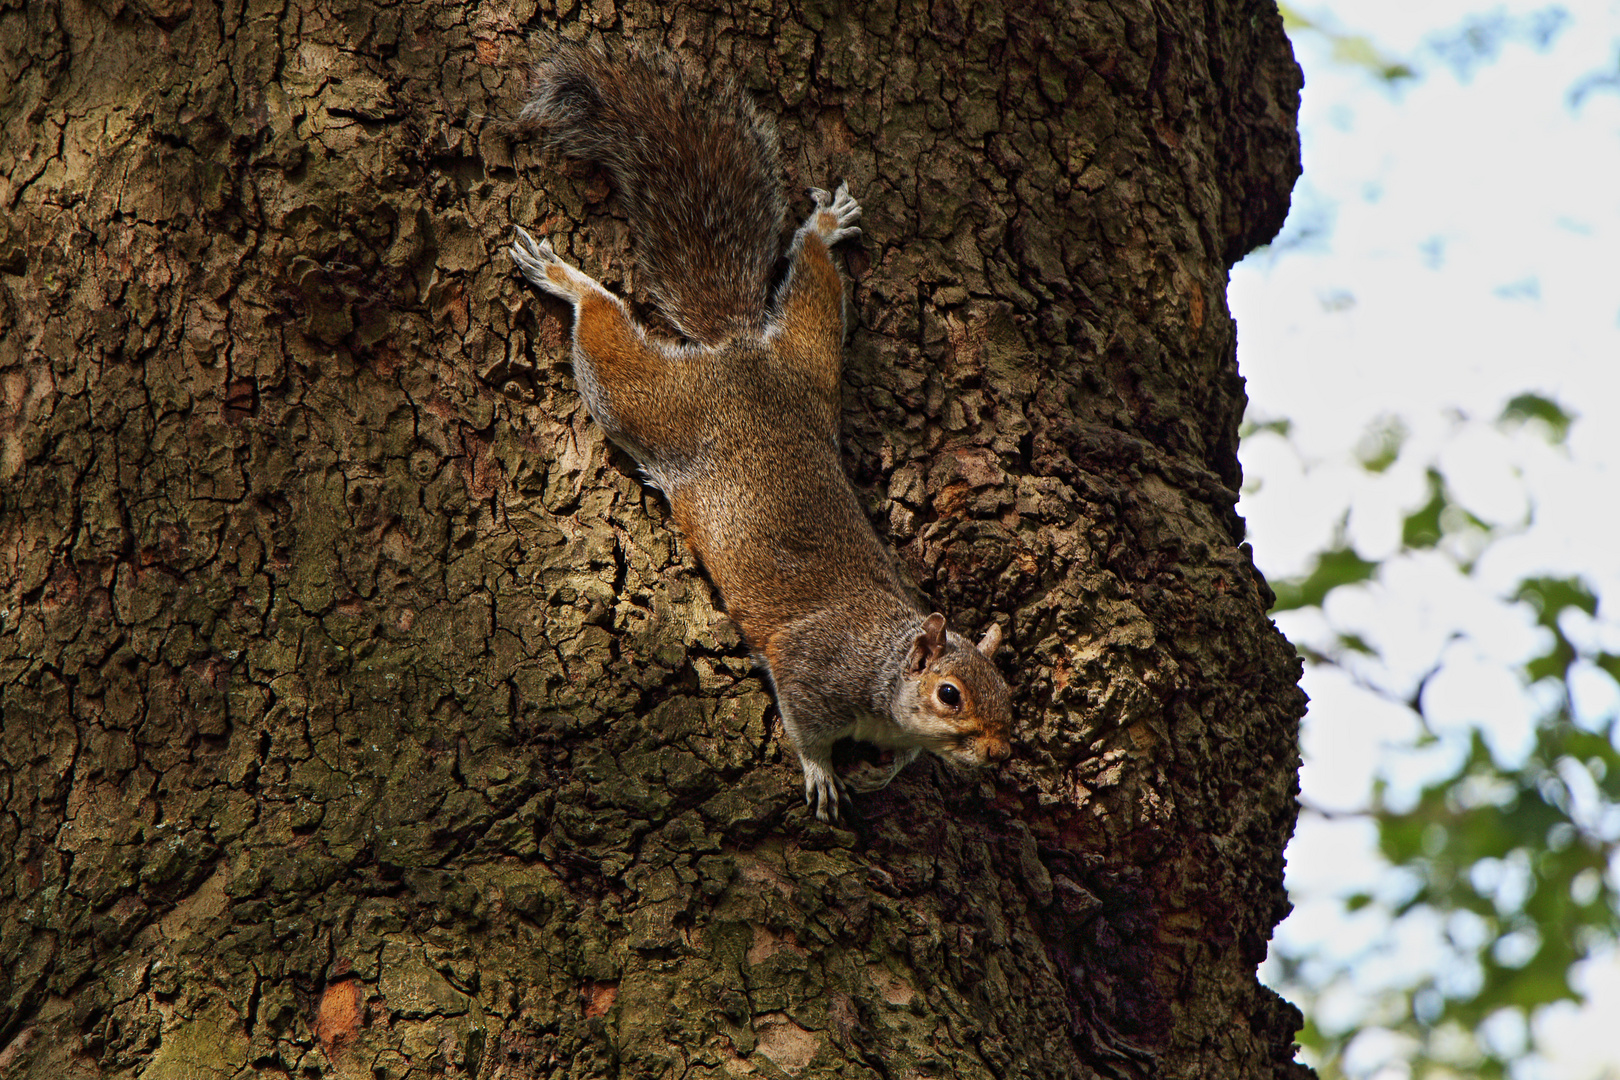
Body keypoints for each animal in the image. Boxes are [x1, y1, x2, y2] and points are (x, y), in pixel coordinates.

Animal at [508, 40, 1010, 819]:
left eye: (1009, 699)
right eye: (949, 694)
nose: (997, 755)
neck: (882, 665)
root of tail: (737, 348)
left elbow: (901, 758)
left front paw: (885, 771)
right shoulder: (811, 674)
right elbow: (804, 727)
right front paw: (823, 773)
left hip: (812, 352)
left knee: (812, 278)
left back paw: (827, 228)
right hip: (646, 404)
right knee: (601, 330)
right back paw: (565, 278)